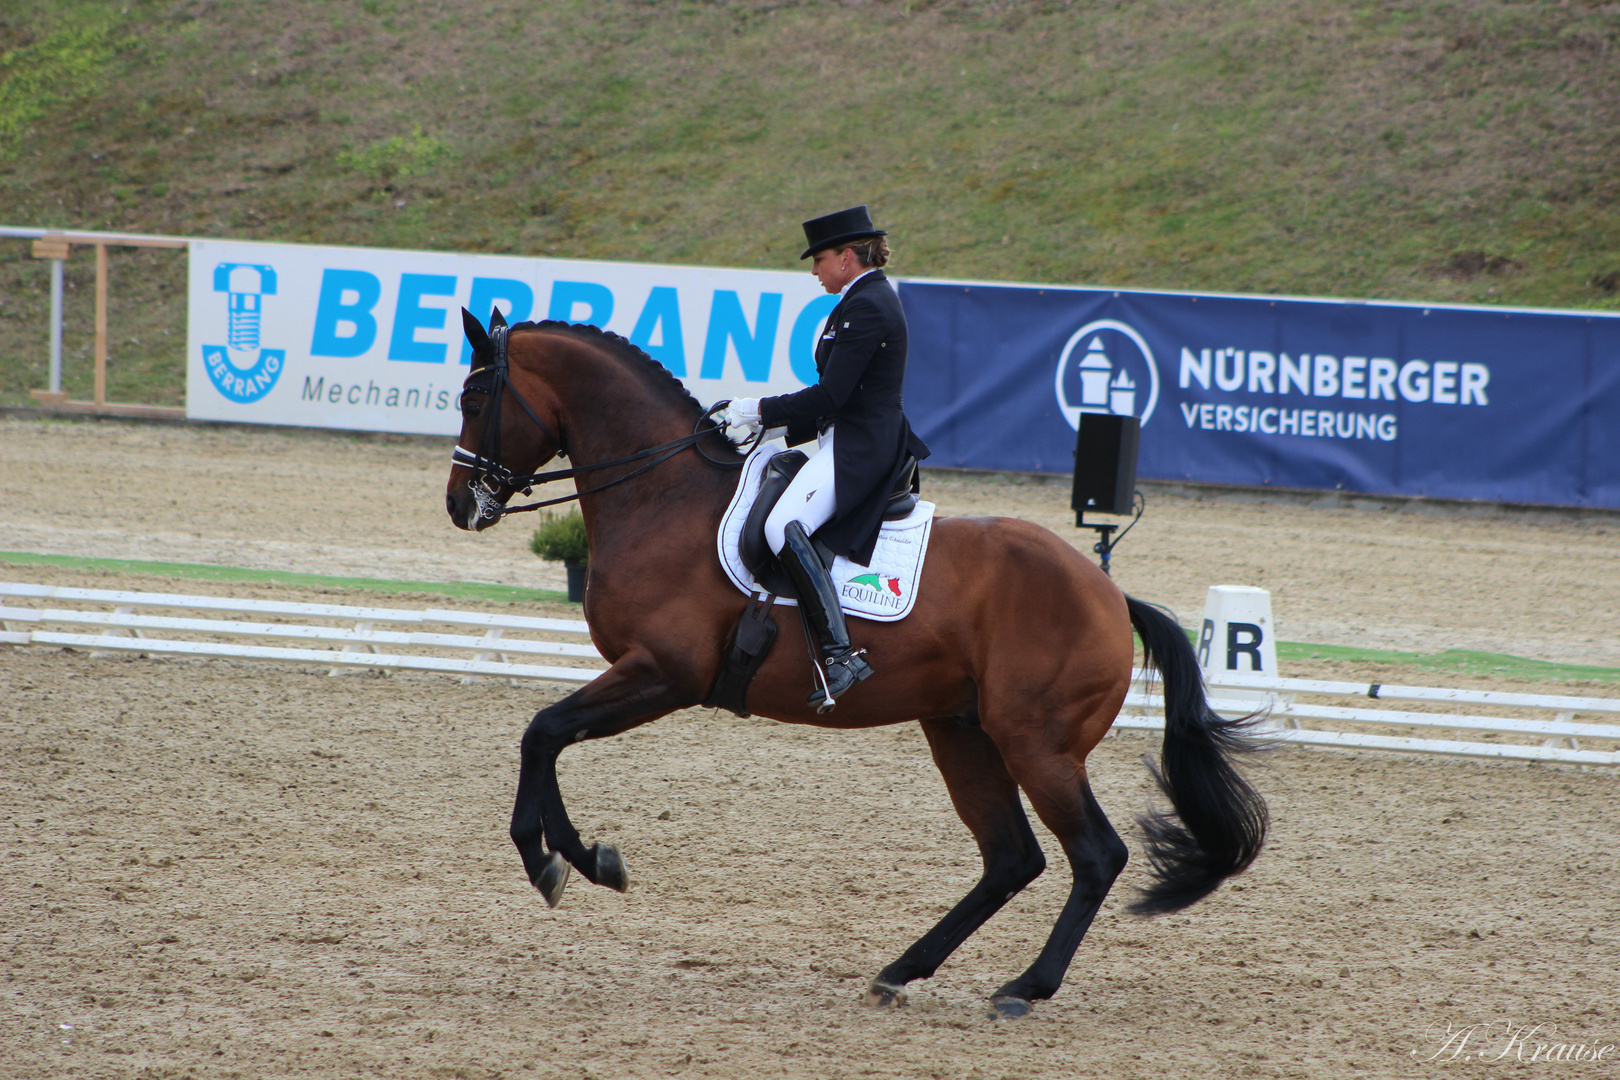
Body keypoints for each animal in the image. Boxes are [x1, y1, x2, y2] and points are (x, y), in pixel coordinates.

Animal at [443, 314, 1263, 1023]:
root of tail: (1110, 593)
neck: (663, 495)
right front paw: (573, 859)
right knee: (1010, 858)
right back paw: (901, 971)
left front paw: (564, 861)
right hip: (962, 732)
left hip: (1037, 743)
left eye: (474, 399)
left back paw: (1023, 987)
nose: (460, 506)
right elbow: (546, 736)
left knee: (1094, 855)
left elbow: (543, 731)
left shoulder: (664, 674)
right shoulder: (649, 677)